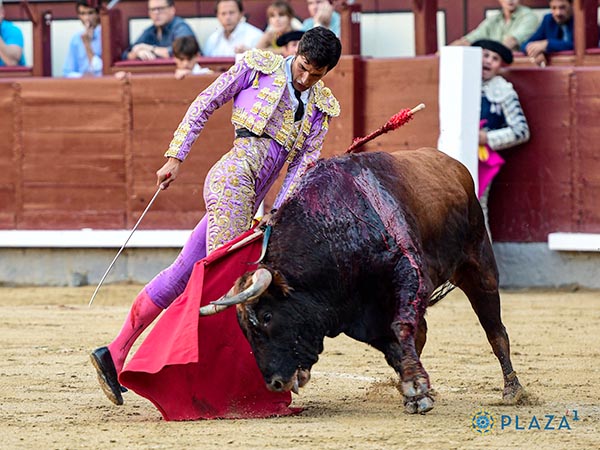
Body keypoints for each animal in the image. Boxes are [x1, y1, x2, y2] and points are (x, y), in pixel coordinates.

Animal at [199, 149, 524, 414]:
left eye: (267, 316)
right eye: (244, 329)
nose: (275, 384)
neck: (334, 228)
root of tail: (454, 165)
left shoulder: (409, 274)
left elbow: (401, 328)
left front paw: (416, 387)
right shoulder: (357, 314)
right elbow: (393, 346)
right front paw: (414, 390)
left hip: (479, 266)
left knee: (495, 330)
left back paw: (513, 390)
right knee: (423, 333)